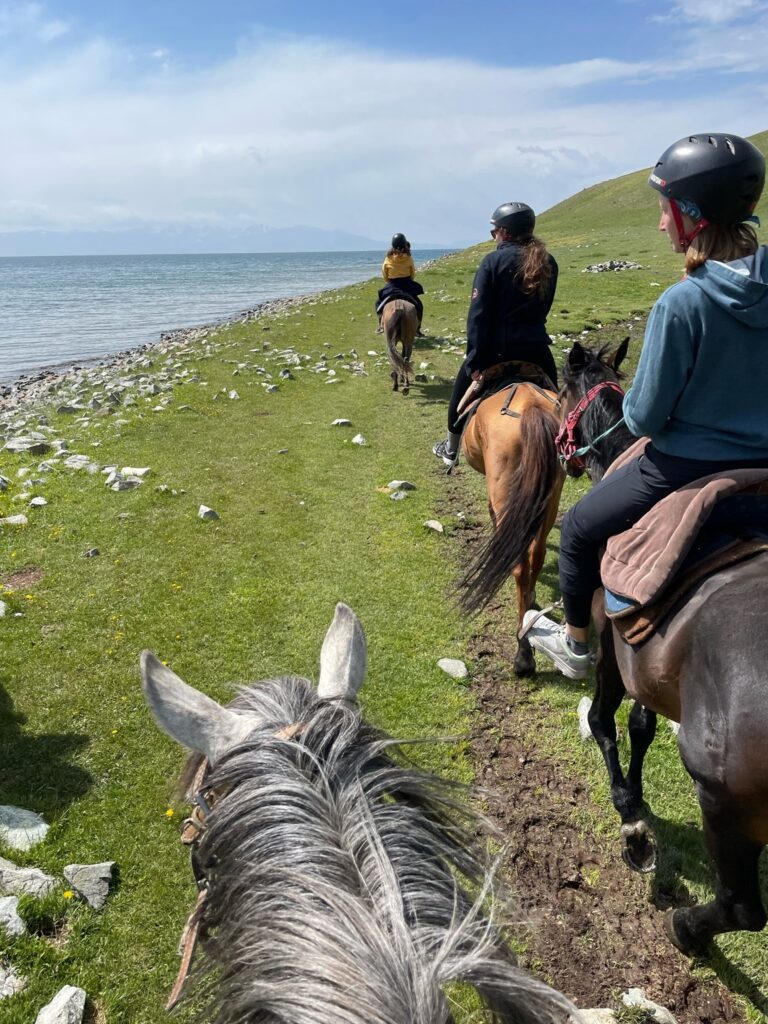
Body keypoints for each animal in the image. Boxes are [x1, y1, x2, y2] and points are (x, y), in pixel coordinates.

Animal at [456, 380, 565, 675]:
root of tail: (530, 406)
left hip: (504, 489)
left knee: (520, 566)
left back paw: (523, 655)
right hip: (550, 496)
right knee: (536, 556)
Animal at [561, 339, 768, 954]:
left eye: (558, 395)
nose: (562, 454)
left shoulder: (612, 648)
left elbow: (604, 721)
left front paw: (631, 819)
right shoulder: (647, 660)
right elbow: (640, 726)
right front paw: (635, 792)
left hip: (726, 805)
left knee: (742, 906)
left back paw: (687, 928)